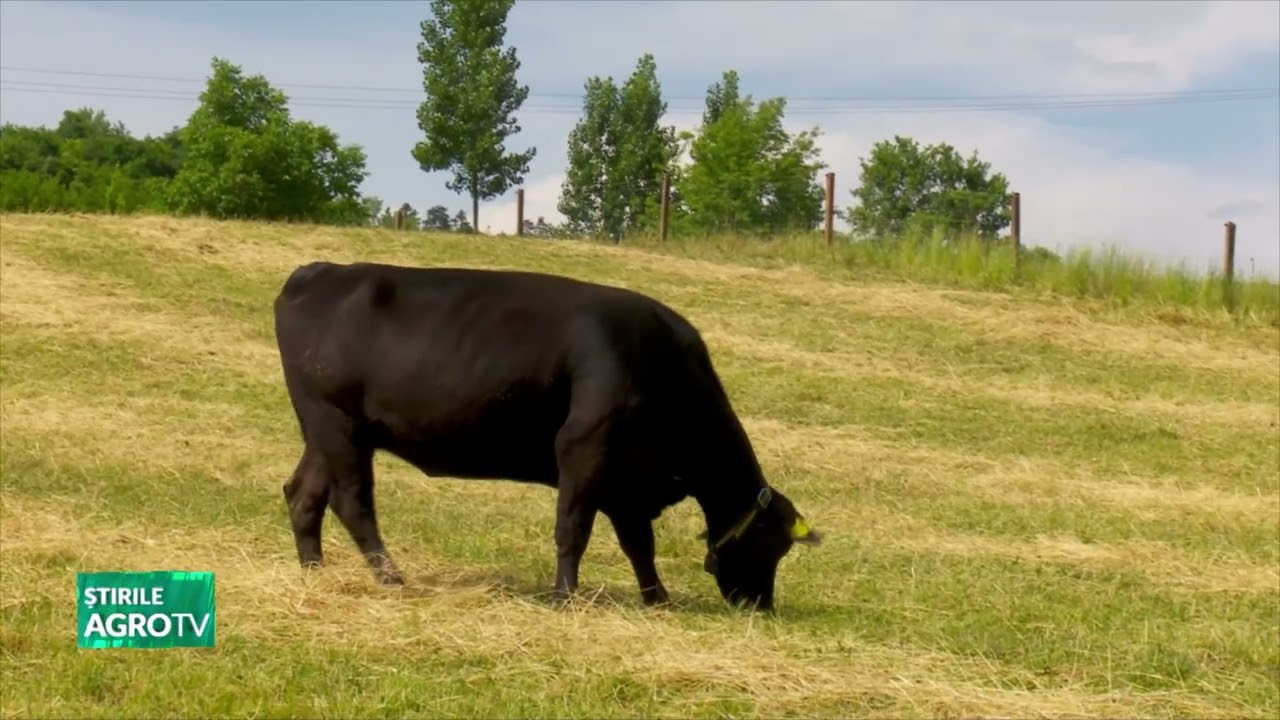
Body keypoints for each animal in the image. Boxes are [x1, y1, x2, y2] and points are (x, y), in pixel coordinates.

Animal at [272, 261, 822, 612]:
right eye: (773, 546)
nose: (761, 606)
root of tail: (319, 271)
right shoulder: (584, 447)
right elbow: (572, 529)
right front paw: (564, 597)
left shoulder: (625, 481)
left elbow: (638, 544)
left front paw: (657, 599)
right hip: (337, 424)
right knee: (353, 501)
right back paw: (390, 578)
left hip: (326, 432)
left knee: (303, 495)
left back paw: (314, 574)